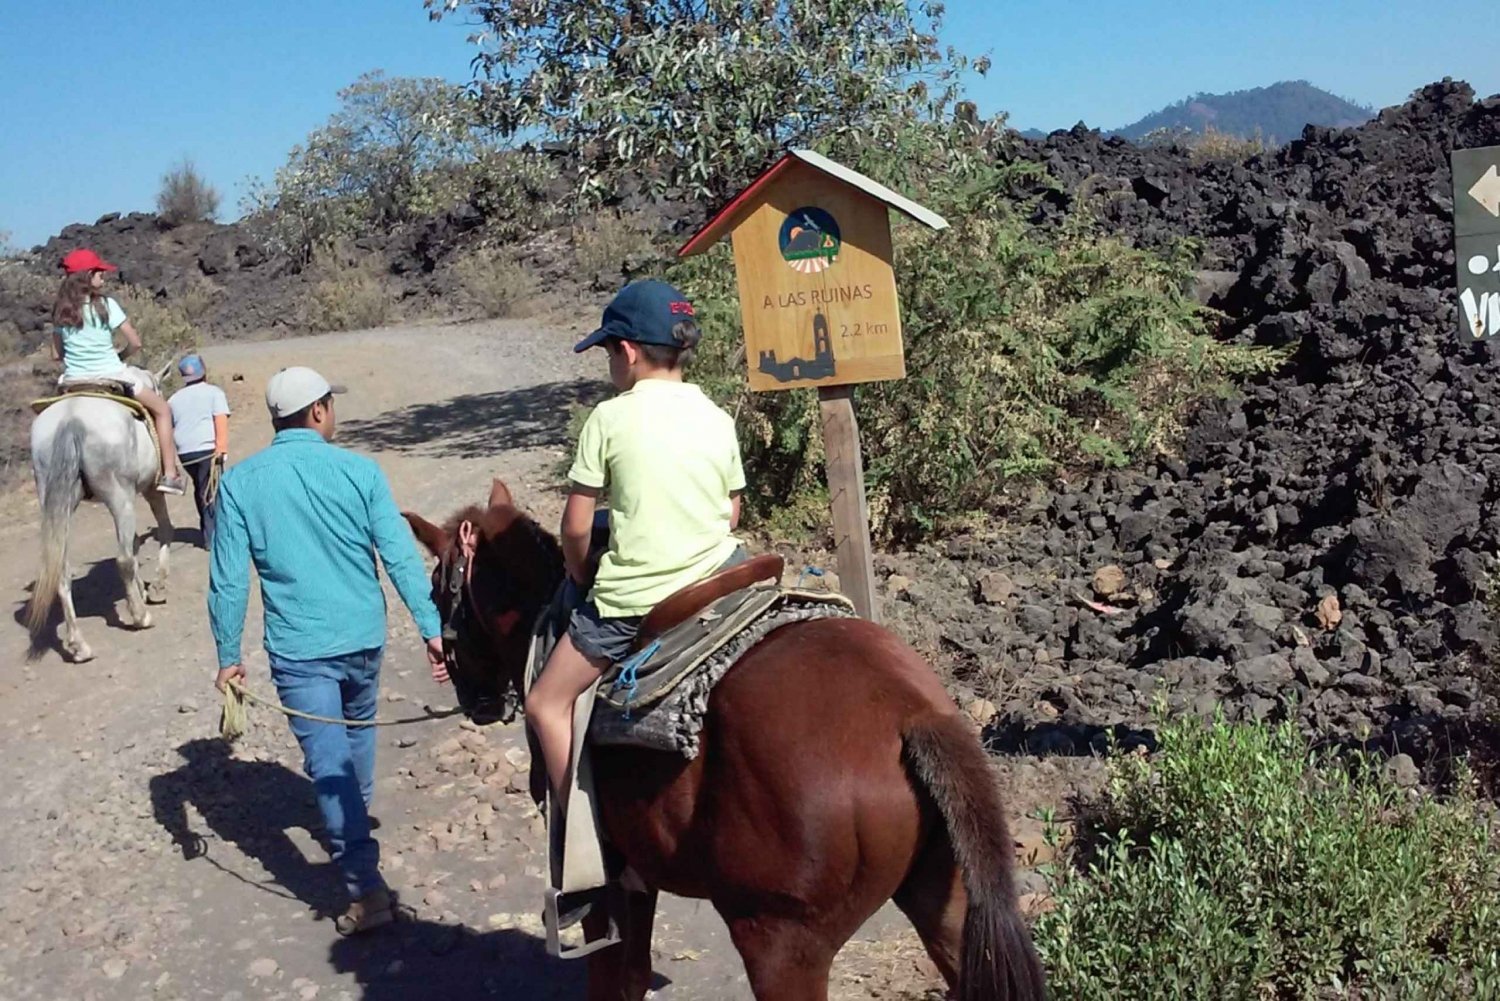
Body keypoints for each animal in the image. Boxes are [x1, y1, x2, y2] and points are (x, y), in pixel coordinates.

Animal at [24, 372, 174, 660]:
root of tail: (71, 419)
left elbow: (136, 541)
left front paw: (141, 589)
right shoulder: (151, 489)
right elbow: (163, 529)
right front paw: (157, 588)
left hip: (58, 502)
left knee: (61, 570)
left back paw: (78, 645)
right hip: (119, 496)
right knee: (124, 559)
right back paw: (140, 617)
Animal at [405, 480, 1050, 996]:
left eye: (437, 592)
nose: (471, 697)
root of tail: (910, 714)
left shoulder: (615, 882)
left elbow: (614, 980)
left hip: (779, 943)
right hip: (945, 900)